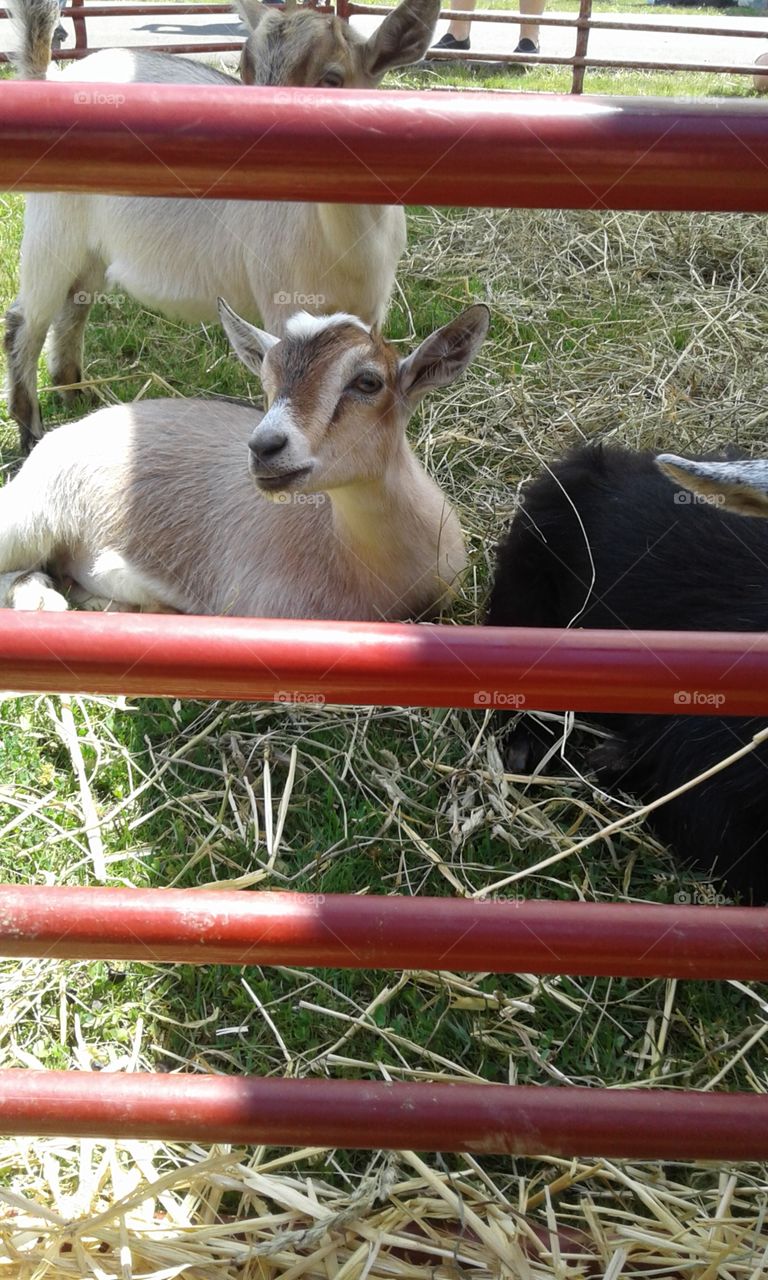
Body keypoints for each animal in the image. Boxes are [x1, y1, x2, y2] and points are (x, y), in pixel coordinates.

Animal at [3, 0, 440, 453]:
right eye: (246, 72)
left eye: (331, 80)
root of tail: (49, 79)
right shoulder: (283, 305)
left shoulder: (368, 313)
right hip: (54, 226)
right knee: (24, 321)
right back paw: (31, 430)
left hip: (92, 247)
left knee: (75, 303)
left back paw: (75, 392)